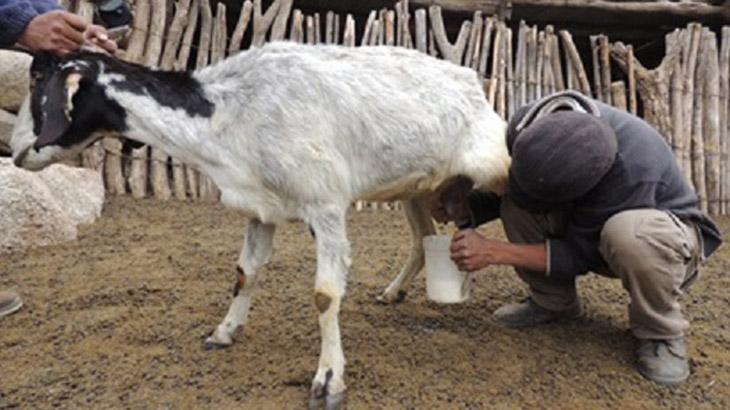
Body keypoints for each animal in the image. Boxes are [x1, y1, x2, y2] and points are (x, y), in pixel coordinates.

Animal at [12, 42, 512, 410]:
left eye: (37, 80)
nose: (16, 150)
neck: (231, 110)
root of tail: (472, 81)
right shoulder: (259, 210)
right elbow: (244, 274)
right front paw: (224, 331)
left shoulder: (326, 206)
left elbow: (324, 295)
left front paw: (329, 379)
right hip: (416, 187)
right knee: (424, 237)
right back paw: (395, 291)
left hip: (497, 168)